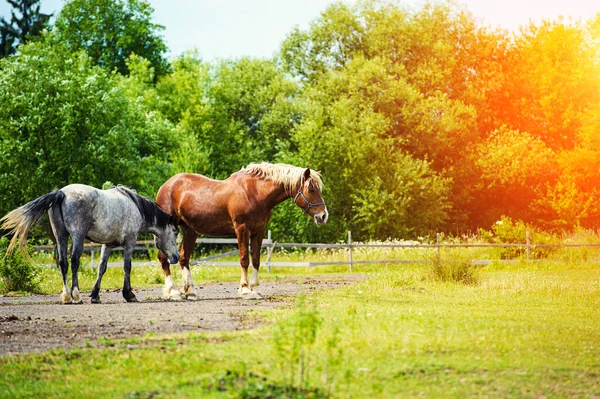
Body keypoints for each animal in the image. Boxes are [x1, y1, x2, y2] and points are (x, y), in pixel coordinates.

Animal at [1, 184, 179, 304]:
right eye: (175, 232)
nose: (176, 257)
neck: (136, 207)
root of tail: (61, 193)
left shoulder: (107, 245)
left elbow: (101, 268)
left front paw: (95, 295)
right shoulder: (130, 242)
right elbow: (127, 267)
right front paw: (129, 294)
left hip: (61, 236)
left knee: (63, 262)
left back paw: (66, 296)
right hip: (77, 236)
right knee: (74, 261)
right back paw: (76, 295)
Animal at [156, 162, 328, 300]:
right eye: (311, 189)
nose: (323, 216)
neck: (255, 192)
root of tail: (166, 186)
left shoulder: (259, 231)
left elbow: (256, 260)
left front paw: (255, 289)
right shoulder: (242, 229)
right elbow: (244, 259)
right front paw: (245, 290)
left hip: (190, 231)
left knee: (184, 257)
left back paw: (190, 291)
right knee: (164, 258)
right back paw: (173, 292)